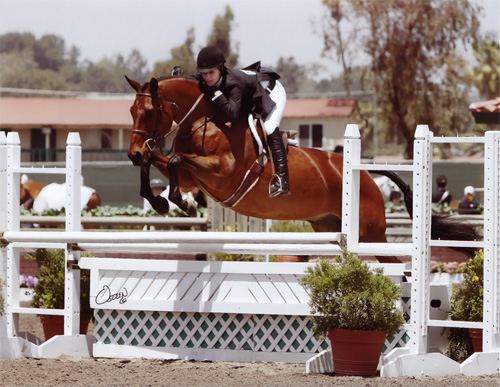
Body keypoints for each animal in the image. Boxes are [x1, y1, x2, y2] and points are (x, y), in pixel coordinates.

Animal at [124, 76, 476, 264]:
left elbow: (174, 160)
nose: (132, 154)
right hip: (328, 225)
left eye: (150, 111)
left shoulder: (223, 174)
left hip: (370, 234)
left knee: (400, 269)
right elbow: (164, 161)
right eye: (131, 110)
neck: (206, 120)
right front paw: (161, 200)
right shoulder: (194, 173)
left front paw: (179, 201)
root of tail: (367, 175)